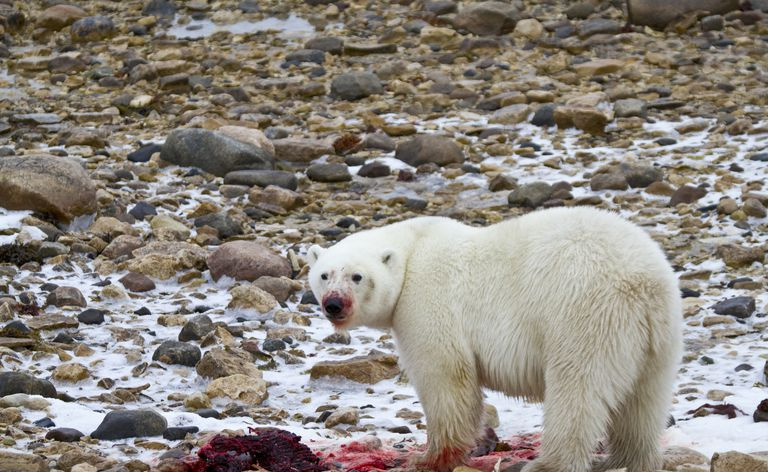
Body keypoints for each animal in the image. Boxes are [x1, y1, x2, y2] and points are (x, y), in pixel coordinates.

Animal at [307, 206, 682, 472]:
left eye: (357, 276)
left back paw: (547, 464)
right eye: (324, 274)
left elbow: (445, 378)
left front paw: (428, 458)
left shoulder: (427, 302)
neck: (414, 248)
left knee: (577, 390)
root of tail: (643, 283)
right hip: (658, 338)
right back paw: (624, 460)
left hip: (584, 316)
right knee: (644, 401)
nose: (334, 304)